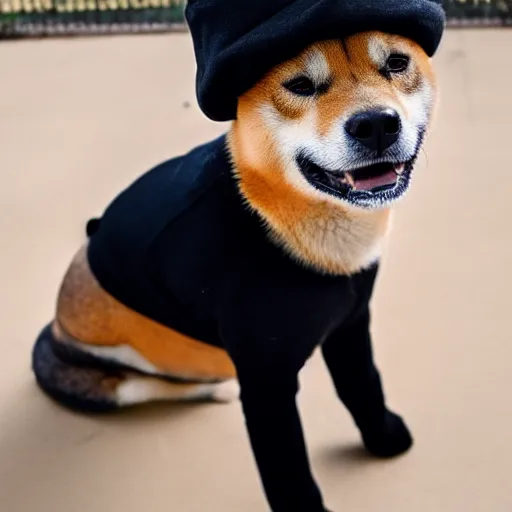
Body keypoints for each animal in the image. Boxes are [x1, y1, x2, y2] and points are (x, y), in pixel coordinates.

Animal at [33, 30, 440, 512]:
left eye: (397, 63)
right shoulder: (267, 379)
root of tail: (57, 326)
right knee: (152, 385)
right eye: (299, 85)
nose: (376, 124)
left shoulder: (351, 322)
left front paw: (383, 436)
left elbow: (362, 383)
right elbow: (288, 469)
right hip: (127, 371)